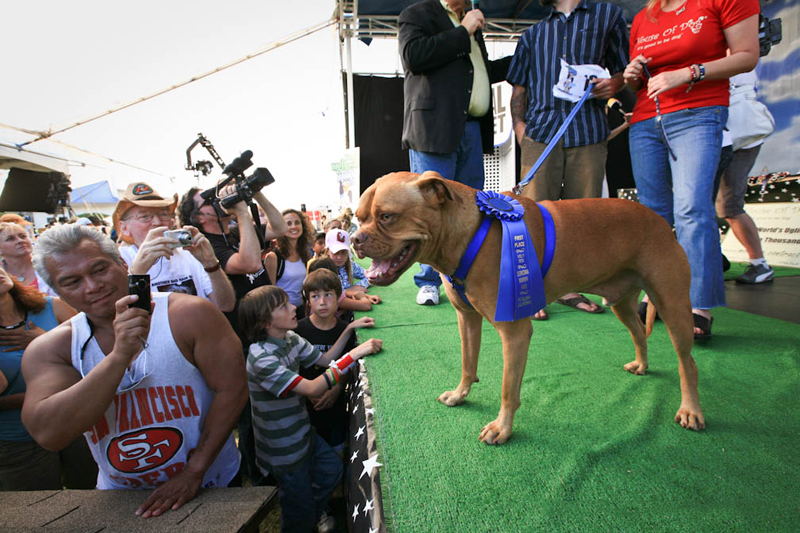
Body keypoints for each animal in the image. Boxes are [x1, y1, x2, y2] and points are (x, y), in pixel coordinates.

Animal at [354, 171, 704, 444]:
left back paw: (691, 409)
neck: (470, 232)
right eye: (359, 217)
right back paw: (642, 364)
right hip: (622, 303)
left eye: (387, 216)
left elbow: (508, 388)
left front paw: (502, 428)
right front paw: (460, 394)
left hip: (673, 306)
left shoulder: (515, 334)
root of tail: (662, 222)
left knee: (687, 363)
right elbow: (468, 363)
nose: (356, 239)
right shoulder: (467, 320)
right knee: (639, 333)